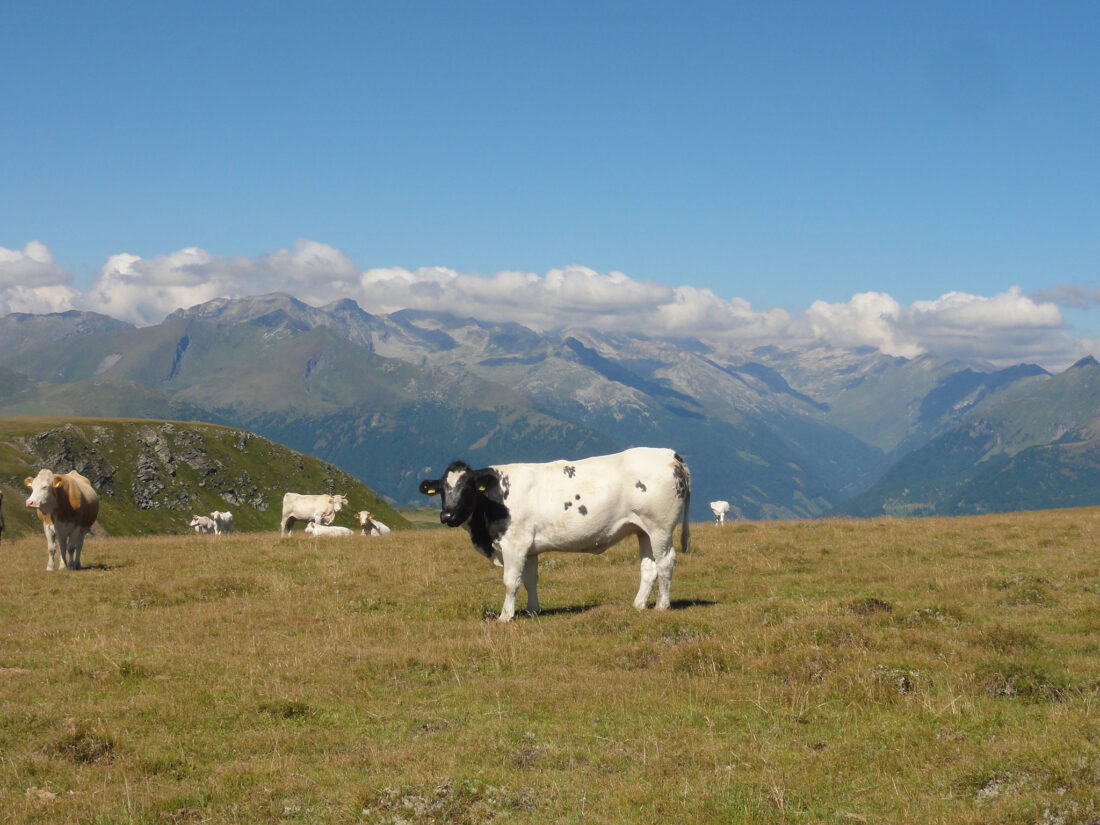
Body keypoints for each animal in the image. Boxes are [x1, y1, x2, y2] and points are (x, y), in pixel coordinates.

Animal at [418, 448, 686, 624]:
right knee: (649, 567)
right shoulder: (529, 548)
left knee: (666, 562)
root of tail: (669, 454)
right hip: (643, 530)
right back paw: (638, 605)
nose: (448, 514)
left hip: (660, 527)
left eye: (468, 488)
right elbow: (530, 580)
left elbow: (511, 581)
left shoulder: (514, 544)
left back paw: (662, 606)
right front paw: (532, 611)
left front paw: (506, 616)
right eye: (442, 490)